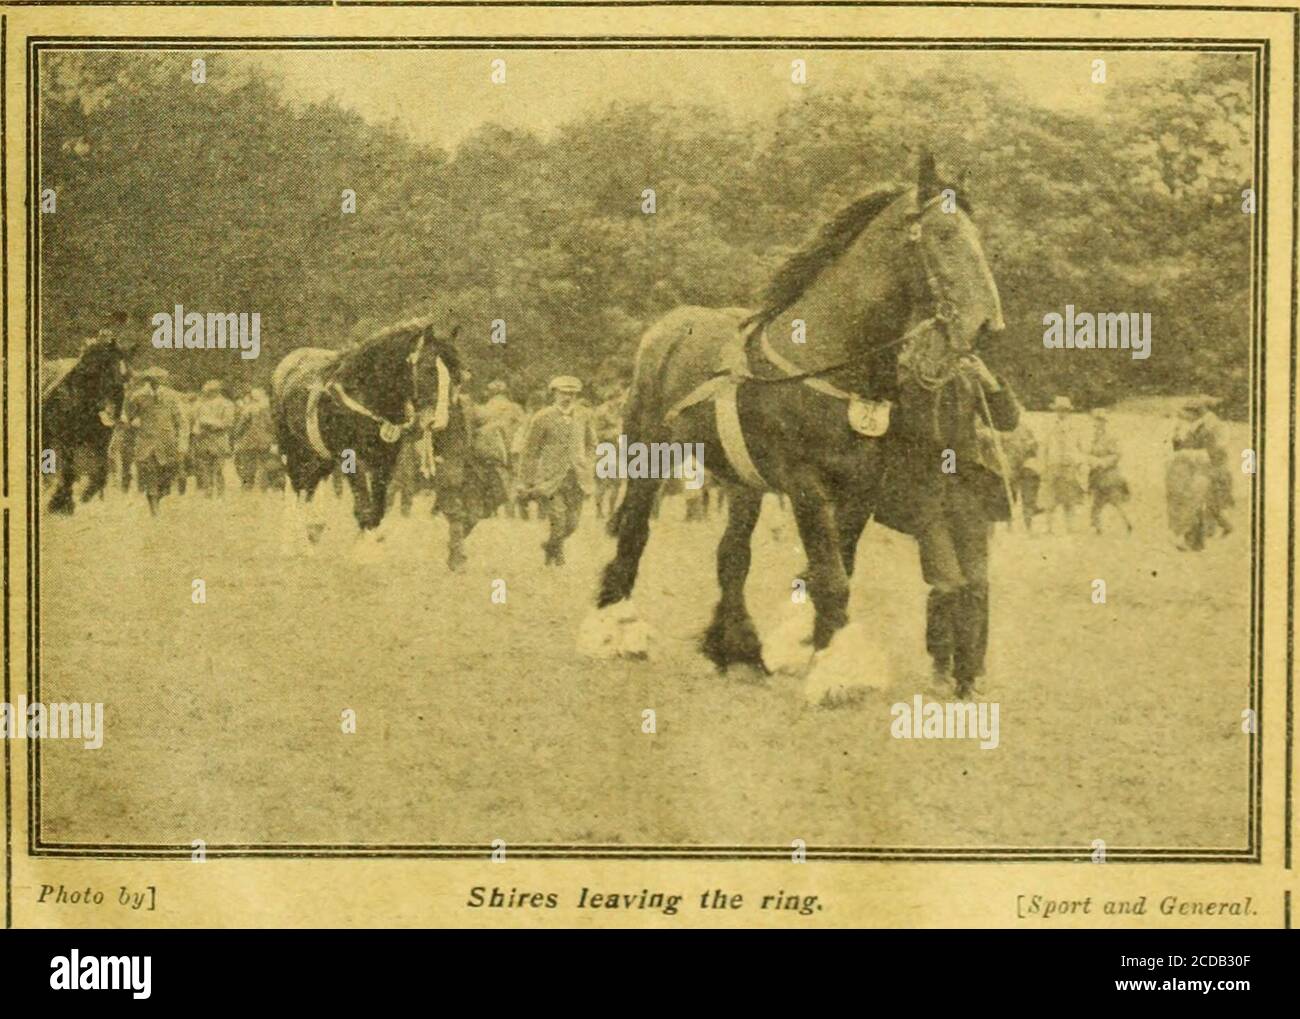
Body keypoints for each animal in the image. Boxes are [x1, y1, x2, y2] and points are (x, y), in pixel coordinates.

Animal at [40, 335, 137, 514]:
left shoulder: (101, 445)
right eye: (107, 372)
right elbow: (68, 472)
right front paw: (61, 504)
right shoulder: (66, 442)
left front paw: (86, 496)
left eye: (127, 377)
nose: (116, 415)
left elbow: (101, 473)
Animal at [274, 315, 473, 561]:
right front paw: (364, 552)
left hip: (320, 455)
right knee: (295, 488)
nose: (440, 421)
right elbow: (364, 506)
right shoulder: (351, 459)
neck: (366, 395)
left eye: (456, 374)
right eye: (428, 369)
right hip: (292, 449)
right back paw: (292, 542)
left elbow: (377, 508)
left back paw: (313, 533)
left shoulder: (385, 461)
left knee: (309, 487)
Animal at [585, 155, 1008, 707]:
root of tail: (669, 327)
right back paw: (614, 627)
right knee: (635, 533)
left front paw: (822, 650)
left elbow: (838, 568)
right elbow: (830, 576)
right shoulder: (805, 484)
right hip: (648, 456)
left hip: (742, 481)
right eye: (944, 233)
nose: (987, 324)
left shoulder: (859, 488)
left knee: (732, 556)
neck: (826, 360)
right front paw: (833, 672)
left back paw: (737, 651)